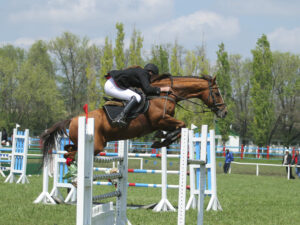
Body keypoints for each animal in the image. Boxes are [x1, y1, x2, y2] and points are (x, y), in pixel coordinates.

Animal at [40, 74, 227, 163]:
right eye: (217, 93)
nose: (224, 112)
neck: (166, 93)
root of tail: (72, 119)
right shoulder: (160, 120)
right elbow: (182, 125)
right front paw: (162, 141)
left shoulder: (163, 122)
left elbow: (179, 128)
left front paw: (161, 139)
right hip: (95, 145)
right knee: (72, 152)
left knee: (68, 149)